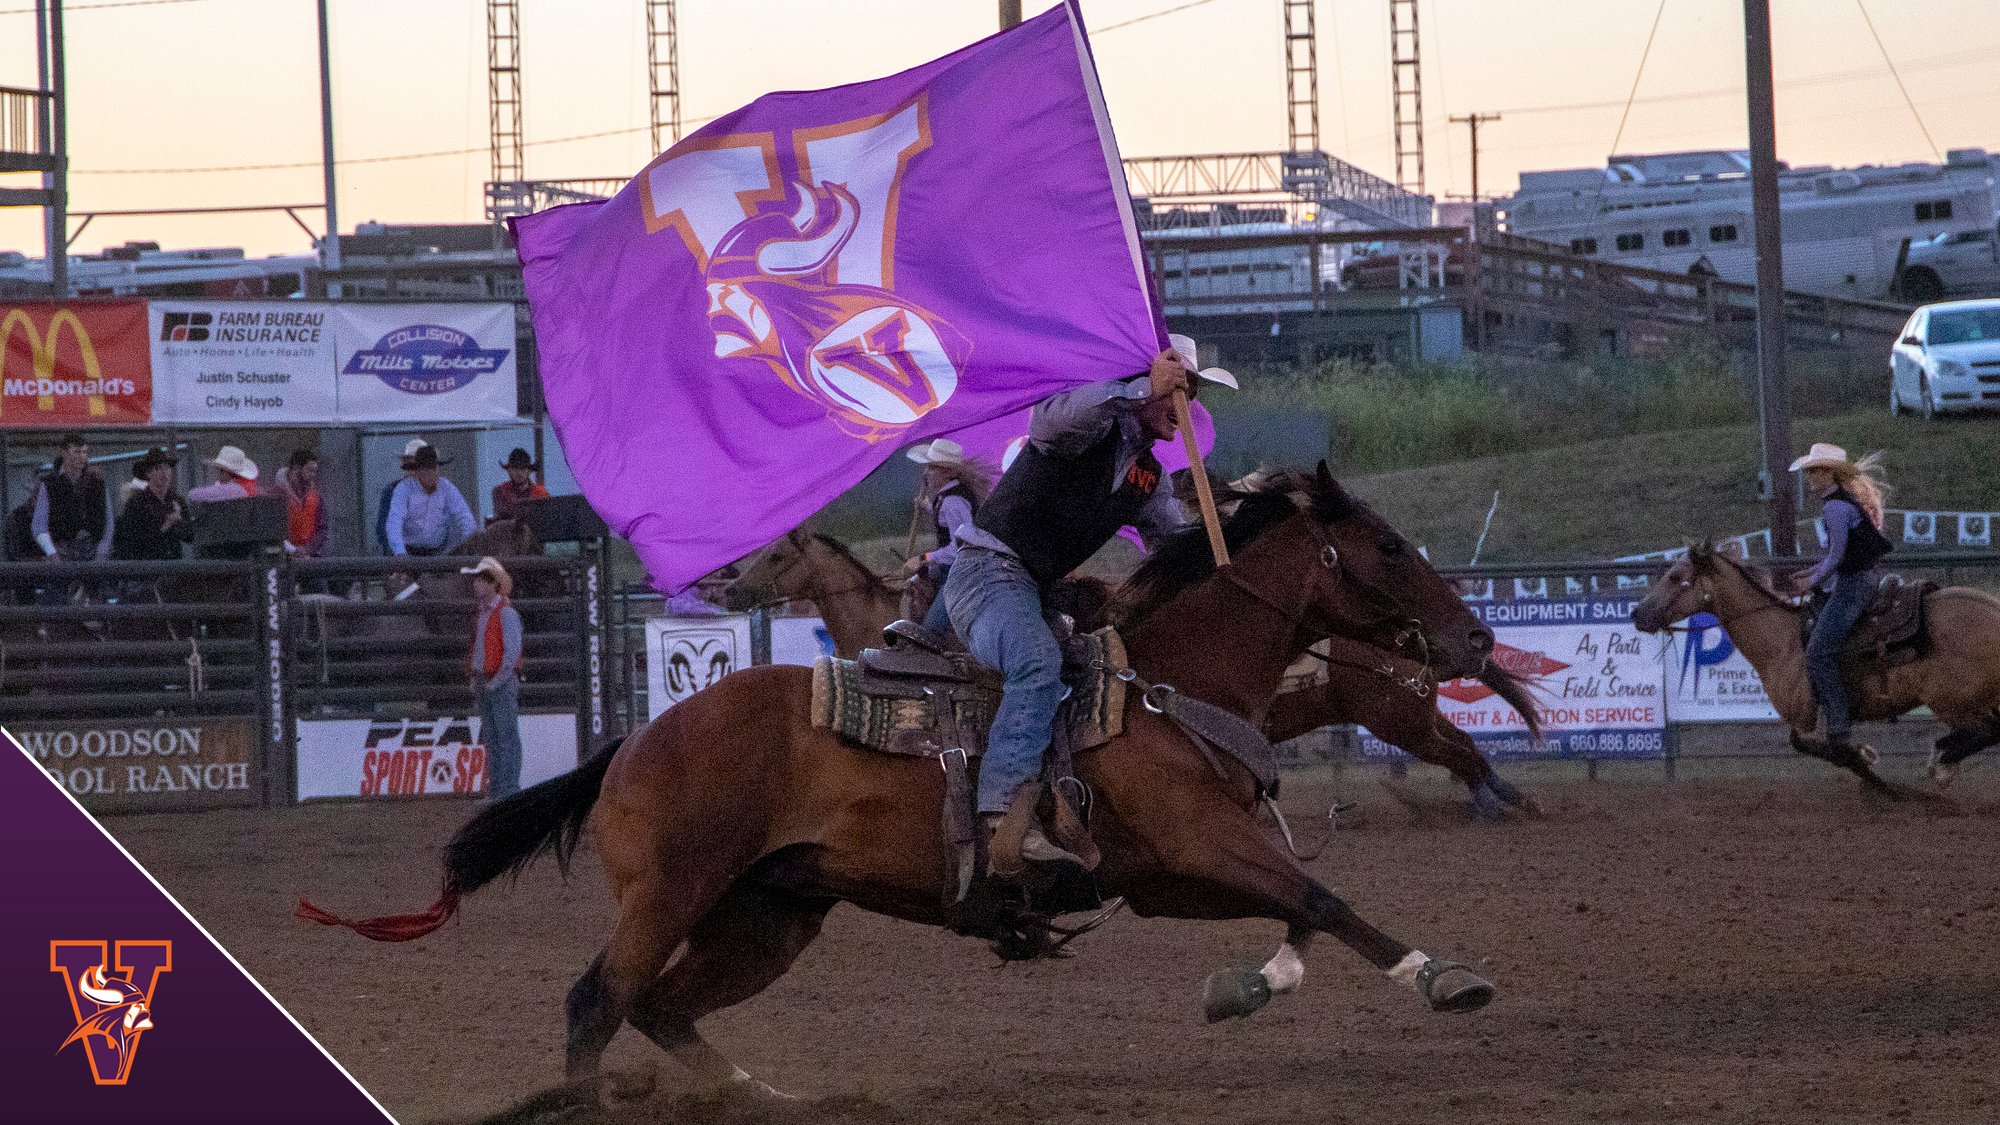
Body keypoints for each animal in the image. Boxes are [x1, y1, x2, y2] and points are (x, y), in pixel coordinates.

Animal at [304, 464, 1504, 1096]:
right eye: (1387, 546)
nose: (1475, 636)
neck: (1166, 683)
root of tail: (639, 739)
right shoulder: (1201, 845)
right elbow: (1324, 897)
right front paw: (1444, 977)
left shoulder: (1169, 874)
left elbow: (1301, 908)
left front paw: (1247, 986)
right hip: (673, 893)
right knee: (600, 999)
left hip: (771, 913)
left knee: (661, 1006)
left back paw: (758, 1100)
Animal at [1632, 540, 2000, 788]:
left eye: (1676, 576)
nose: (1637, 613)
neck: (1784, 640)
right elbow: (1807, 743)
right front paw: (1864, 758)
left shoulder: (1813, 711)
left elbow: (1818, 744)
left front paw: (1867, 764)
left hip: (1951, 700)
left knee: (1985, 731)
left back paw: (1942, 762)